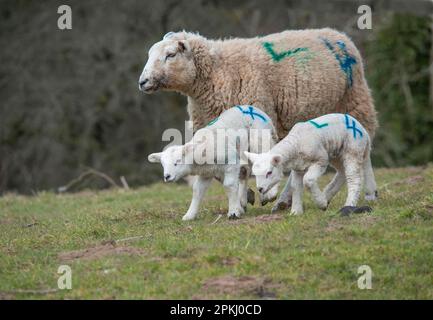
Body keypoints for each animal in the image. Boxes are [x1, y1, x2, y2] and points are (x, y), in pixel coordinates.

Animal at [148, 105, 276, 220]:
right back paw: (243, 202)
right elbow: (197, 190)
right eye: (163, 164)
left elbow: (229, 185)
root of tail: (254, 108)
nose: (167, 176)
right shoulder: (206, 173)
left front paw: (233, 213)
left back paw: (270, 195)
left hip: (260, 141)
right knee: (244, 174)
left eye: (177, 161)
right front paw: (189, 215)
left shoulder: (231, 162)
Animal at [245, 112, 376, 215]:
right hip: (336, 154)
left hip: (353, 149)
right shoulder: (298, 167)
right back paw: (327, 196)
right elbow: (295, 186)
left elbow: (308, 180)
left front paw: (321, 203)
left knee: (354, 178)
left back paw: (348, 204)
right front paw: (296, 212)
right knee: (342, 173)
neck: (295, 143)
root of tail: (364, 131)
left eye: (269, 172)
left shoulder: (321, 160)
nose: (260, 189)